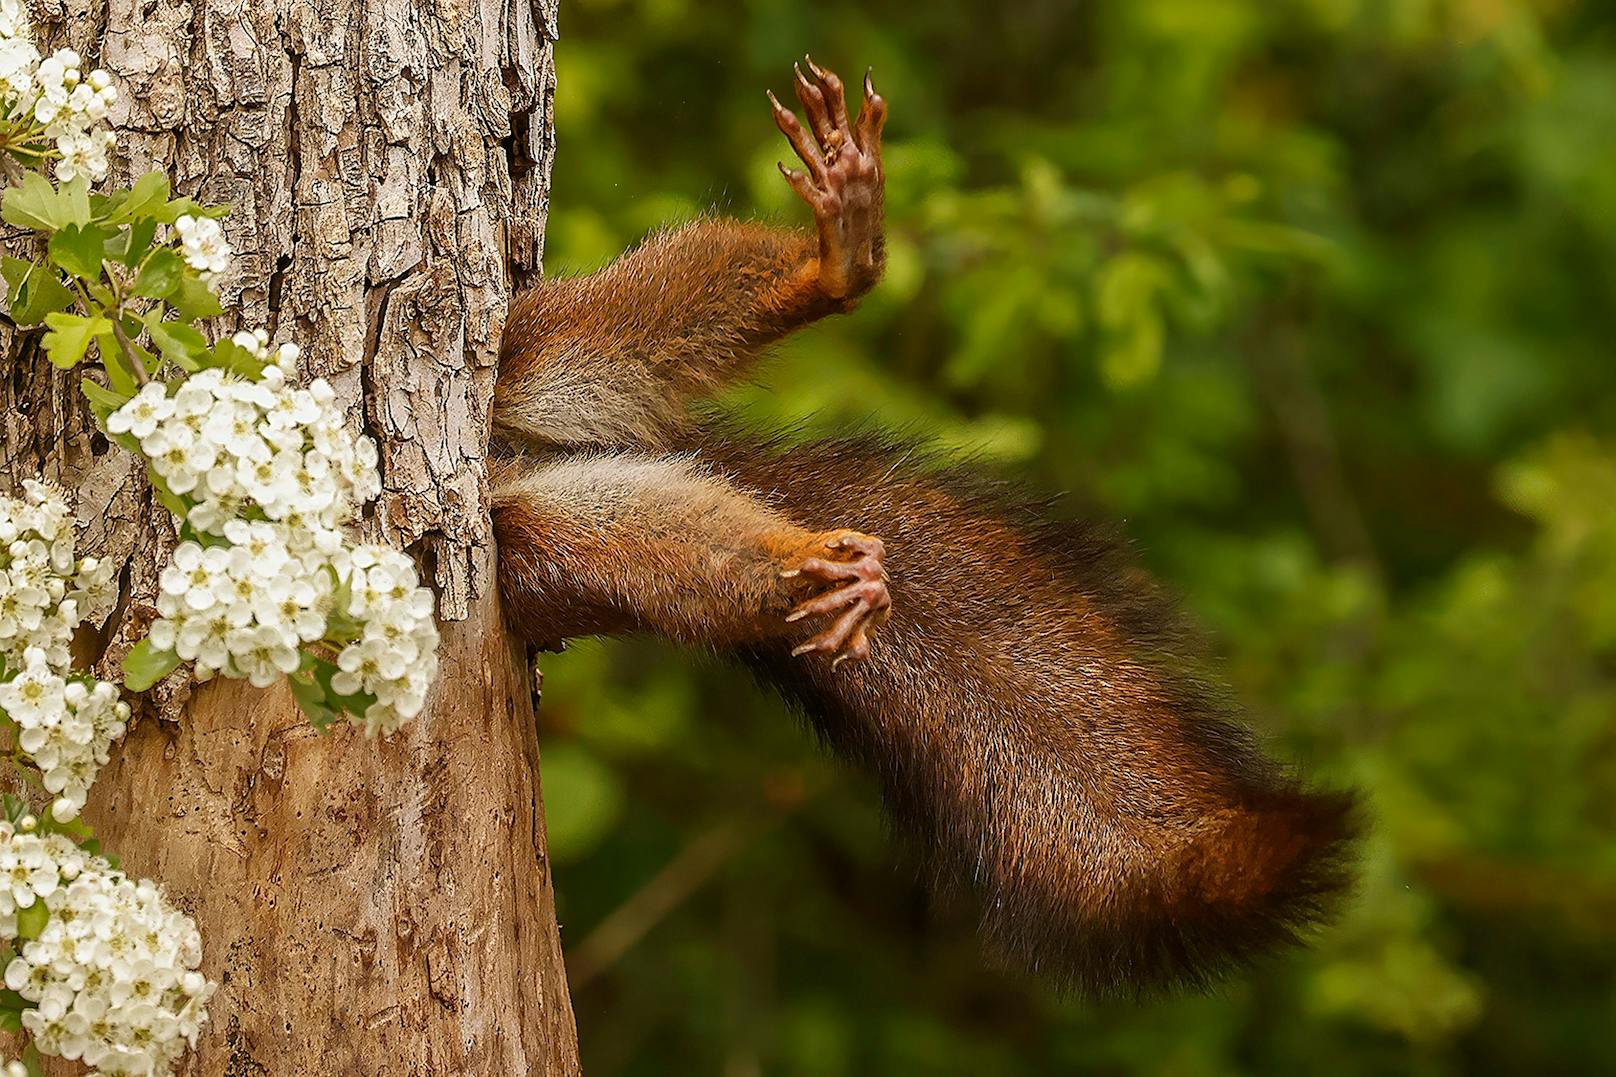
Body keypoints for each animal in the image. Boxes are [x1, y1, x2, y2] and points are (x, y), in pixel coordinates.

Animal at [484, 58, 1357, 996]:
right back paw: (817, 566)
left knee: (631, 320)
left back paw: (837, 262)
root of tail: (514, 458)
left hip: (534, 349)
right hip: (542, 541)